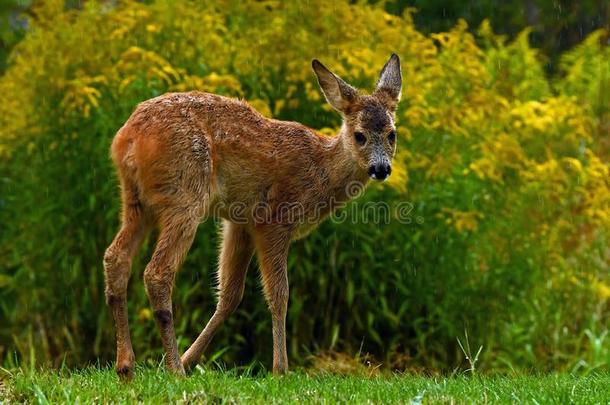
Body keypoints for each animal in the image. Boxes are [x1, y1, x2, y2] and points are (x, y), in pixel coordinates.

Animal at [102, 53, 402, 378]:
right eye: (359, 136)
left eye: (392, 134)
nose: (381, 168)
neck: (320, 169)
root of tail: (129, 136)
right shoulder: (274, 218)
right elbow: (279, 294)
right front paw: (280, 369)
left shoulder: (240, 222)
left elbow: (230, 295)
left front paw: (191, 358)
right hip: (186, 194)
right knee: (157, 272)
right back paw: (173, 370)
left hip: (135, 200)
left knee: (116, 257)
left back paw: (127, 366)